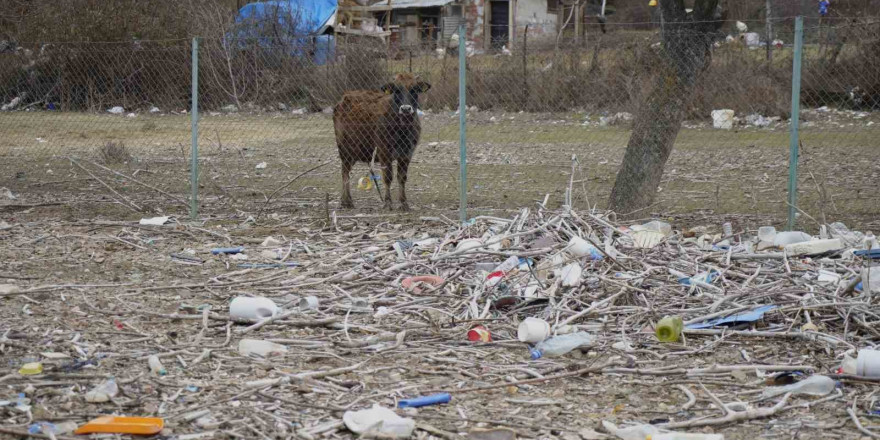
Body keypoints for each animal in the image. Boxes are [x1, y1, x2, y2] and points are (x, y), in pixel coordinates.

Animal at [332, 73, 432, 211]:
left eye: (414, 89)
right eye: (396, 90)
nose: (406, 109)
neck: (402, 129)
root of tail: (344, 99)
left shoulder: (407, 153)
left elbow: (402, 178)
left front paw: (403, 203)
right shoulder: (384, 152)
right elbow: (388, 177)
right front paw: (388, 202)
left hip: (354, 152)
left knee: (346, 171)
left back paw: (345, 200)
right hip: (344, 149)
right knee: (345, 173)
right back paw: (347, 201)